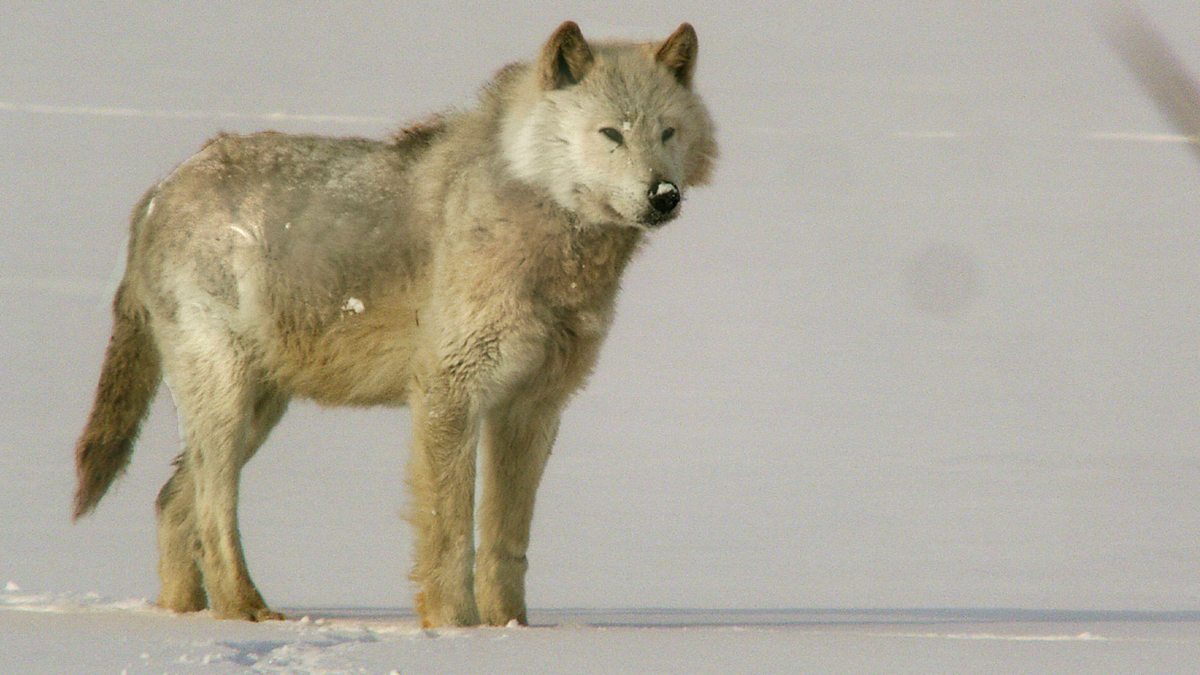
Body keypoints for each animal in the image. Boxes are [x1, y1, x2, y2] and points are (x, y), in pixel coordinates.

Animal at [70, 18, 715, 624]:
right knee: (211, 510)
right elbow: (449, 535)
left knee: (169, 501)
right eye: (611, 134)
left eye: (667, 132)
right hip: (228, 404)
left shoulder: (531, 408)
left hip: (260, 409)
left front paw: (511, 630)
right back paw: (245, 610)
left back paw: (188, 616)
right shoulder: (449, 392)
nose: (664, 195)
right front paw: (456, 627)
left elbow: (507, 544)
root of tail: (162, 188)